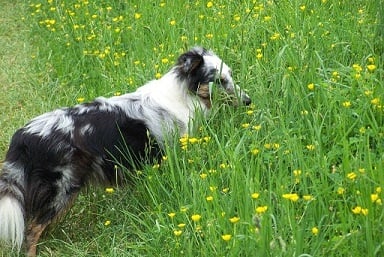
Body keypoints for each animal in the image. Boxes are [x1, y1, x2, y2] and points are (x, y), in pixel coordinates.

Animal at [0, 46, 250, 256]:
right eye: (220, 80)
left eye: (230, 75)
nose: (248, 101)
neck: (183, 94)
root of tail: (22, 136)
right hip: (61, 187)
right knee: (32, 230)